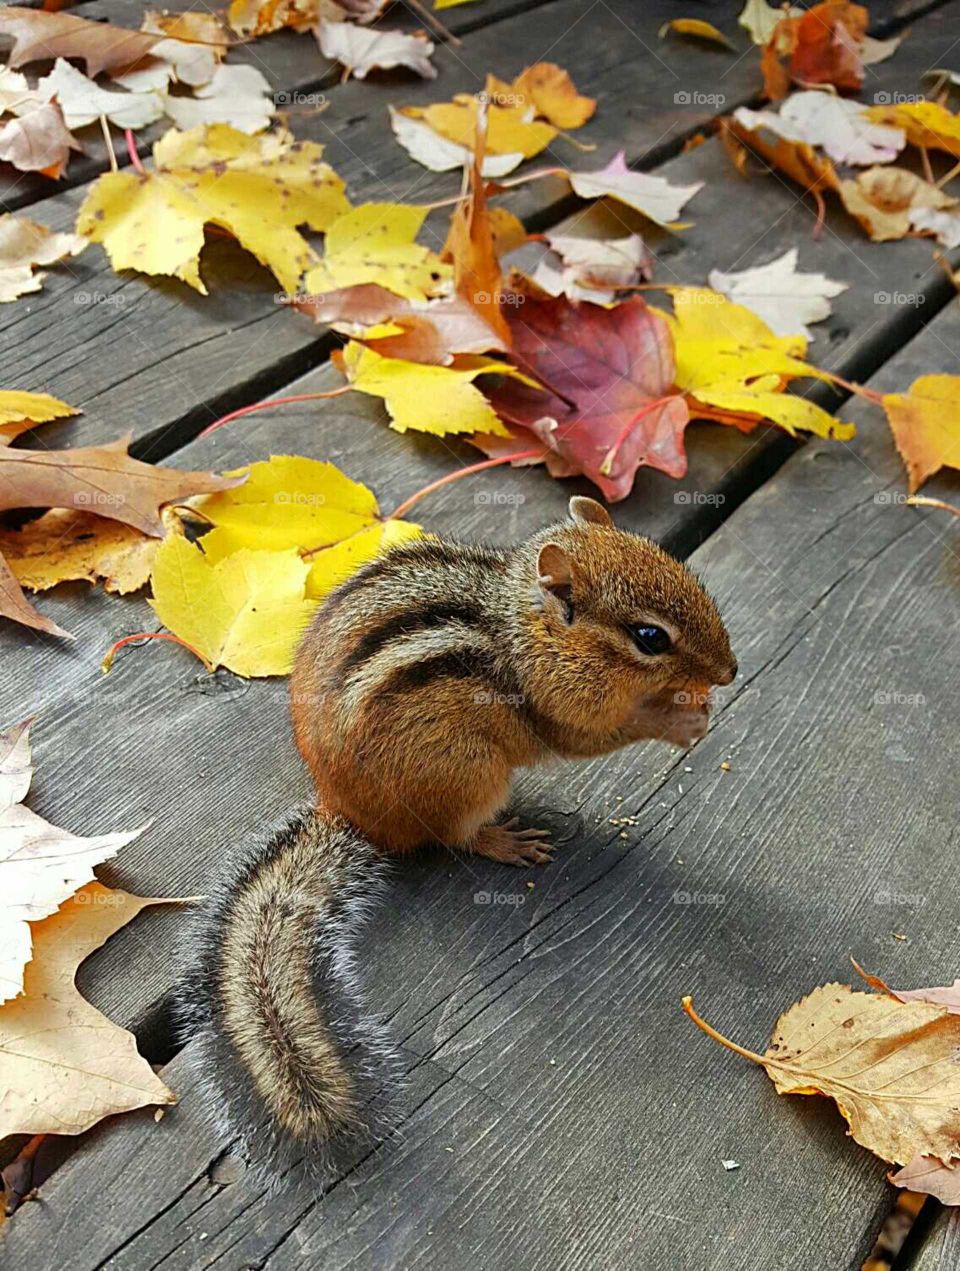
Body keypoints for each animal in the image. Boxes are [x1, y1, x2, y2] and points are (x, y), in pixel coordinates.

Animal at [179, 496, 736, 1174]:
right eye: (650, 637)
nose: (730, 671)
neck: (528, 627)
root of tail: (347, 811)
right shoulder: (559, 707)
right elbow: (598, 735)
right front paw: (679, 717)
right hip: (470, 771)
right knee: (452, 836)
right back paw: (505, 841)